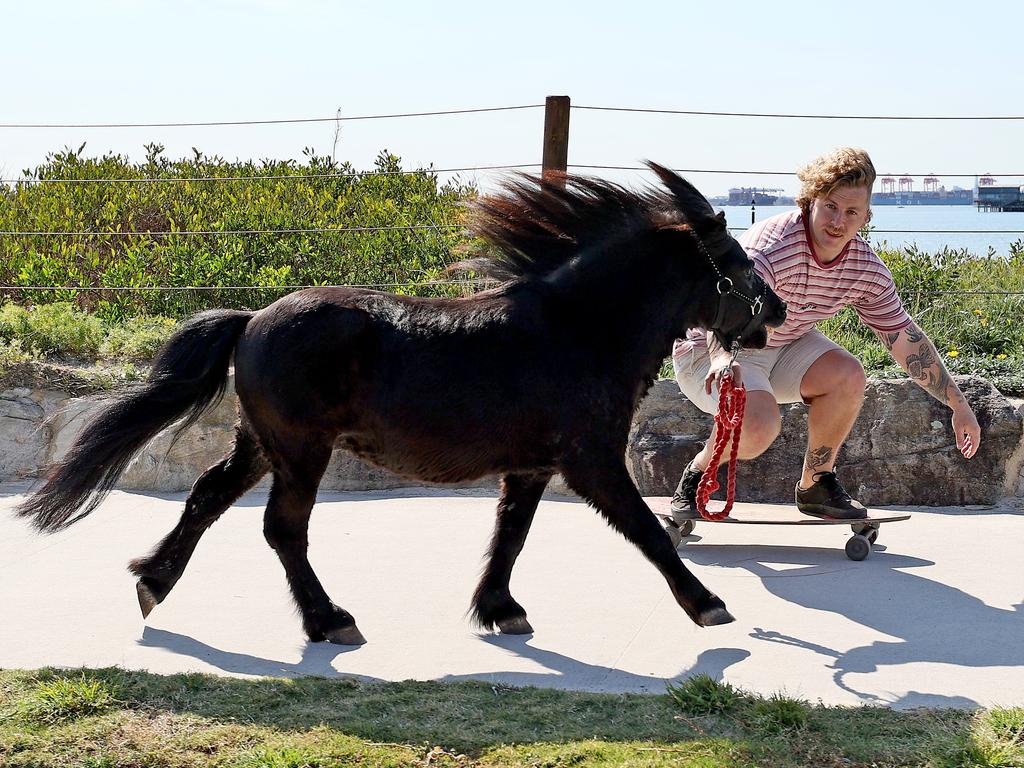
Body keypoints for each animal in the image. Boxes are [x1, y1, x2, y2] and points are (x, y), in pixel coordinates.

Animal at [14, 165, 782, 647]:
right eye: (739, 263)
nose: (773, 312)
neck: (578, 328)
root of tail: (253, 318)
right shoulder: (591, 460)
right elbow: (647, 530)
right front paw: (708, 605)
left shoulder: (531, 466)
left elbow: (511, 535)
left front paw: (499, 610)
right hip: (301, 449)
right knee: (282, 529)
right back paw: (329, 621)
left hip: (261, 442)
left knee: (207, 495)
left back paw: (153, 581)